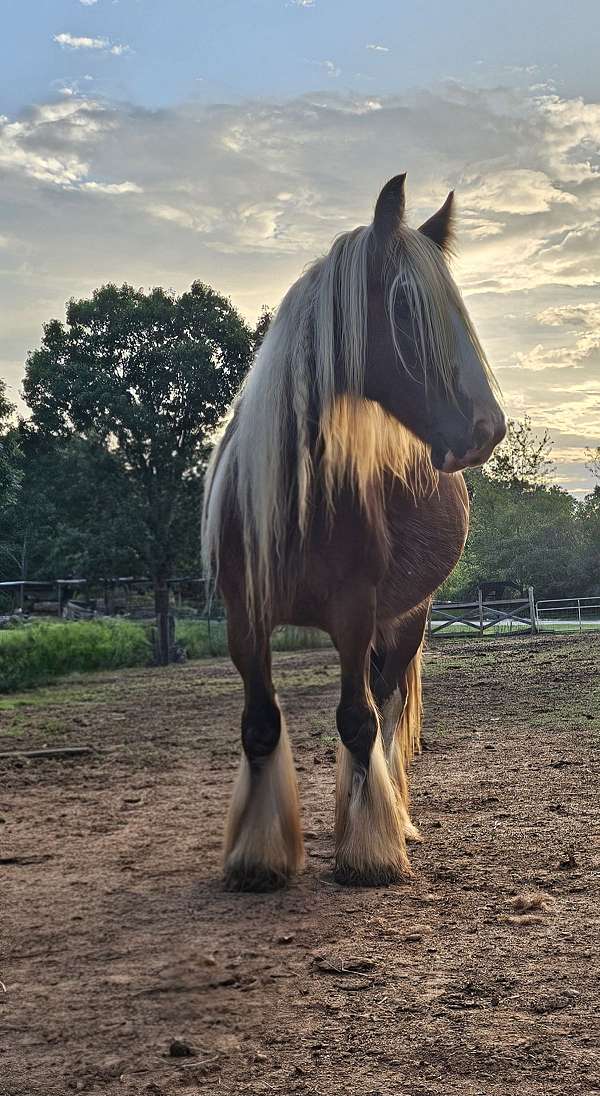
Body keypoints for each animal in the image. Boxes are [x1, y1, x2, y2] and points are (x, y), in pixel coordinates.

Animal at [202, 174, 506, 892]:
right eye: (401, 303)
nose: (486, 429)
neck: (298, 502)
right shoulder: (243, 618)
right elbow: (260, 725)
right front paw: (257, 858)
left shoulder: (354, 614)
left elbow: (358, 722)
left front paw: (369, 850)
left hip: (406, 621)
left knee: (386, 709)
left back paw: (395, 819)